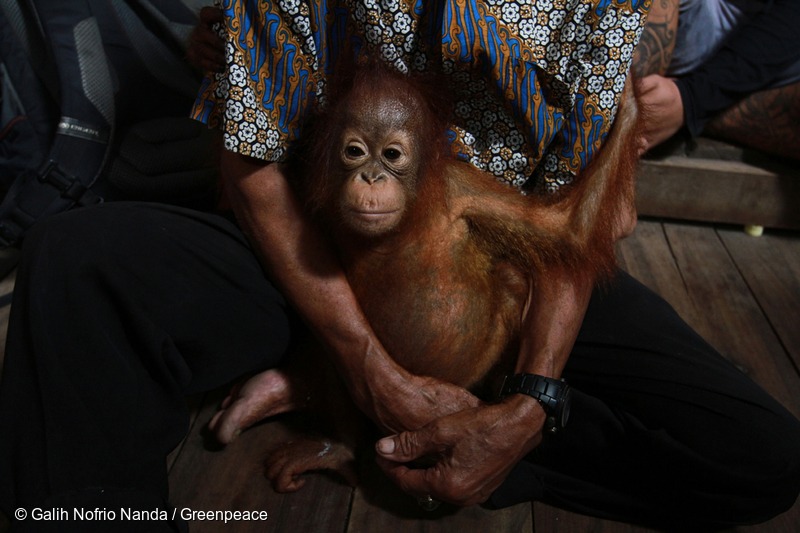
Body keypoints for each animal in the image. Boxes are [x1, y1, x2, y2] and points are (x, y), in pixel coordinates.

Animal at [260, 62, 641, 492]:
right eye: (355, 152)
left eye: (392, 154)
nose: (371, 177)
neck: (403, 224)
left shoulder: (462, 190)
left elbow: (566, 232)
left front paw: (631, 101)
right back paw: (335, 446)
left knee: (511, 277)